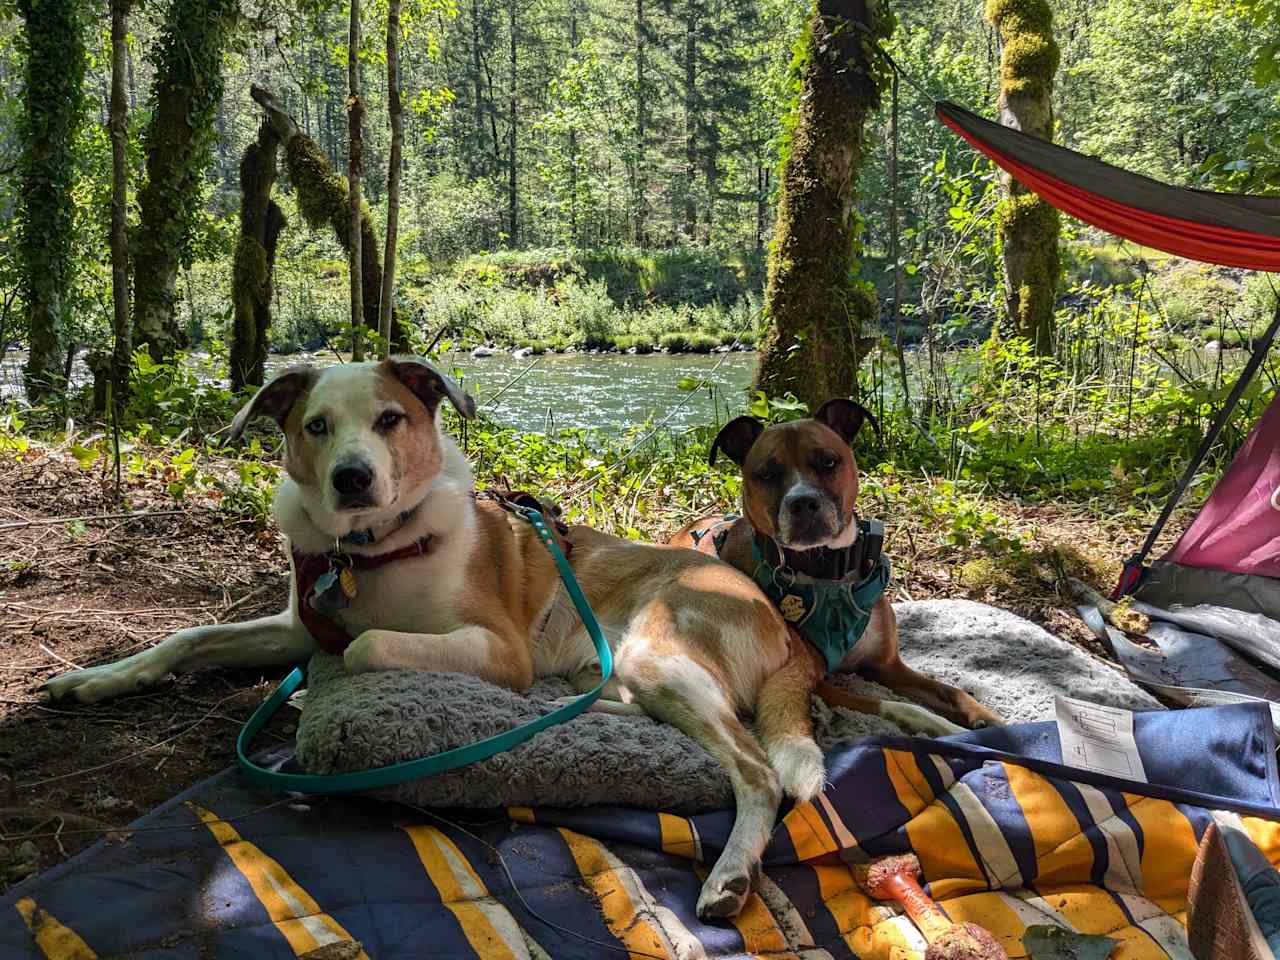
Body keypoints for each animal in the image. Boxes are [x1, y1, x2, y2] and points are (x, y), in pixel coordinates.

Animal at [40, 360, 952, 926]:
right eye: (316, 426)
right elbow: (191, 636)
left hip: (660, 655)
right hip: (646, 672)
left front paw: (308, 692)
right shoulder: (298, 622)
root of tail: (778, 620)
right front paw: (96, 680)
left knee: (759, 769)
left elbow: (362, 649)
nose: (353, 479)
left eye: (390, 420)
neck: (371, 550)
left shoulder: (494, 649)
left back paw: (730, 875)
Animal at [665, 401, 1003, 732]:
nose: (802, 503)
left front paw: (989, 719)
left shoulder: (888, 667)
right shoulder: (815, 681)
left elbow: (951, 690)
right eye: (767, 474)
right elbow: (895, 705)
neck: (827, 573)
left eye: (828, 462)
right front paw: (946, 727)